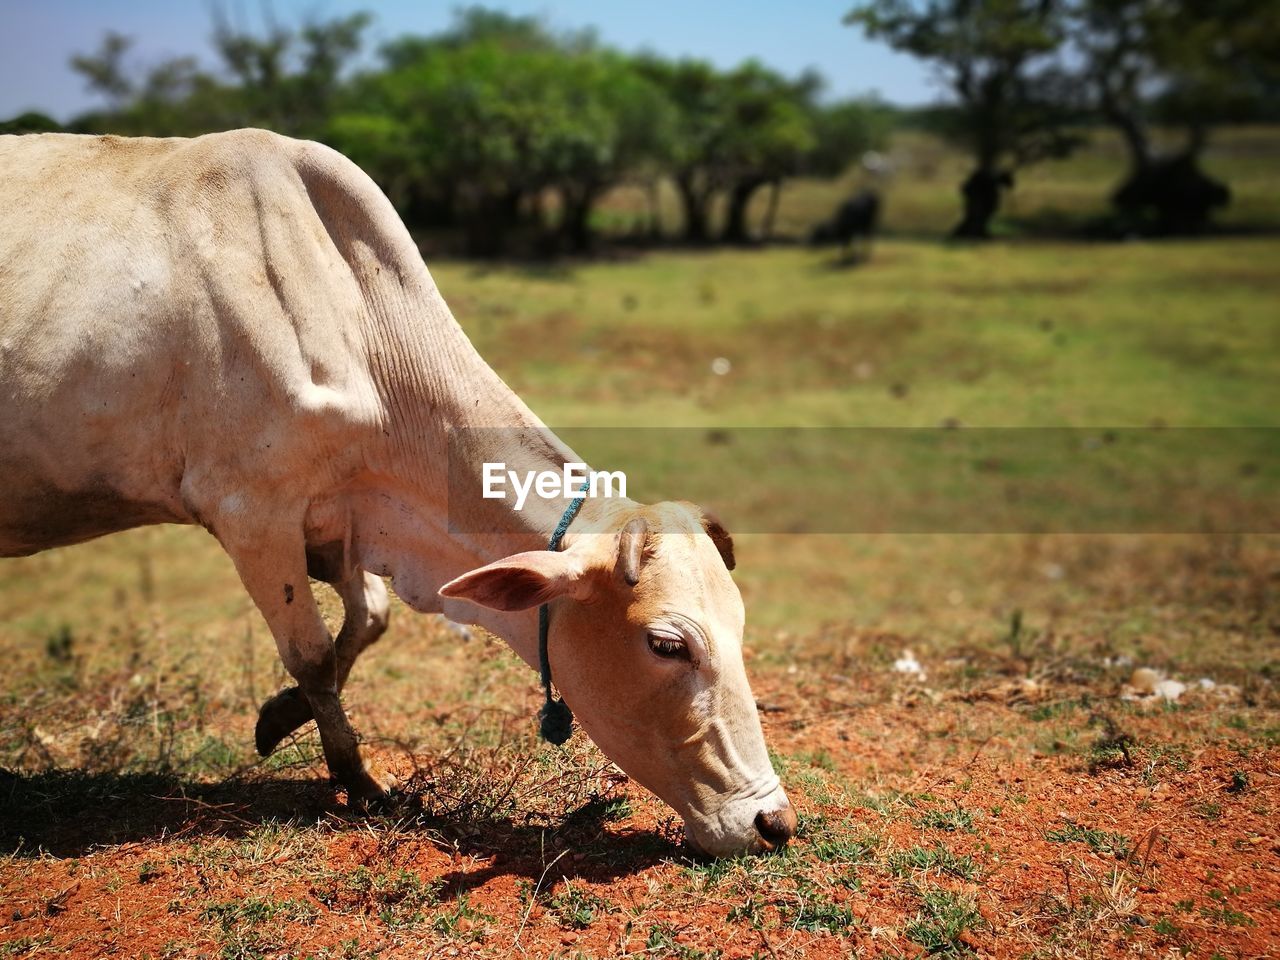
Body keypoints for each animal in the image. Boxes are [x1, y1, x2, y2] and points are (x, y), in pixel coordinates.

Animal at [0, 128, 793, 855]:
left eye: (740, 625)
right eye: (666, 645)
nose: (773, 821)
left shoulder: (339, 520)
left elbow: (369, 620)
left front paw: (279, 716)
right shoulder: (252, 514)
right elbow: (314, 653)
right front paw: (357, 780)